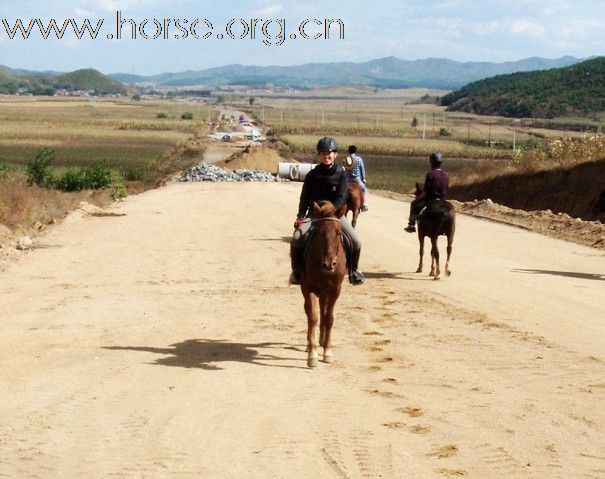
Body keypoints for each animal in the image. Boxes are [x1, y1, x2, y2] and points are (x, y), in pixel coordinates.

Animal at [298, 199, 344, 368]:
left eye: (338, 232)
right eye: (318, 232)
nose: (328, 264)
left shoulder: (335, 291)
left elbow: (329, 318)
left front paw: (328, 351)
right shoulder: (309, 288)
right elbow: (313, 317)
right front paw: (312, 354)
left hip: (325, 293)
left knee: (324, 313)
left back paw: (323, 341)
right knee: (311, 312)